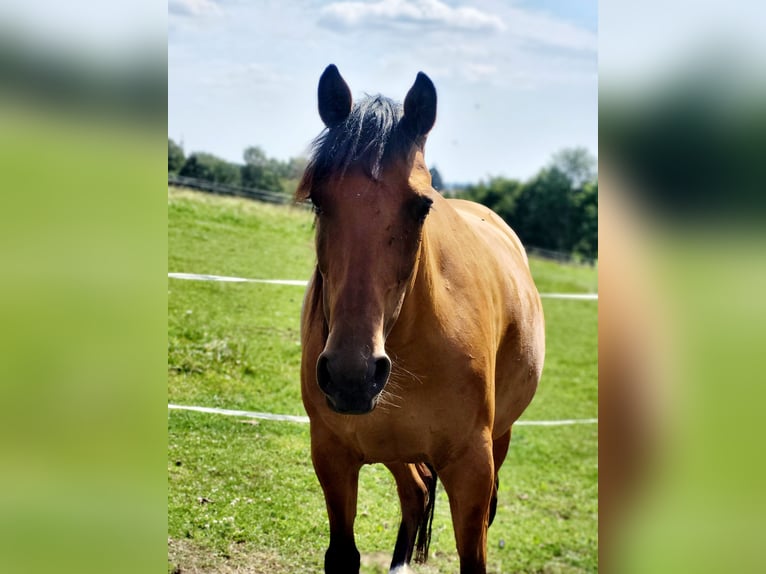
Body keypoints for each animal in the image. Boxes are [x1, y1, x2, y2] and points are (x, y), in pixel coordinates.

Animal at [296, 65, 544, 572]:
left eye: (421, 205)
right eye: (318, 200)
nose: (352, 375)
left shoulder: (472, 467)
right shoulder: (332, 456)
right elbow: (343, 554)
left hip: (499, 440)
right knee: (414, 491)